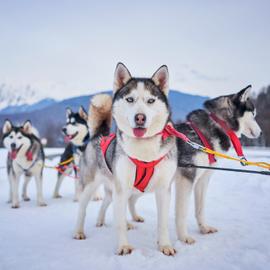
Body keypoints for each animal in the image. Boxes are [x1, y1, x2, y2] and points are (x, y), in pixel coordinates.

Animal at [74, 63, 177, 255]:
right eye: (130, 99)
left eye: (150, 101)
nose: (140, 117)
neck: (144, 151)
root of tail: (99, 134)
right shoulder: (121, 188)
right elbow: (119, 222)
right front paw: (123, 246)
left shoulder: (163, 189)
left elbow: (163, 223)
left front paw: (165, 245)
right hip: (90, 186)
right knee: (82, 209)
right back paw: (78, 231)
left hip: (122, 189)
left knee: (109, 203)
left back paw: (104, 220)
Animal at [175, 85, 262, 244]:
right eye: (253, 114)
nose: (262, 132)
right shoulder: (186, 178)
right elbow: (182, 211)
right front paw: (184, 237)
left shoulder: (203, 179)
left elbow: (200, 208)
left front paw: (203, 228)